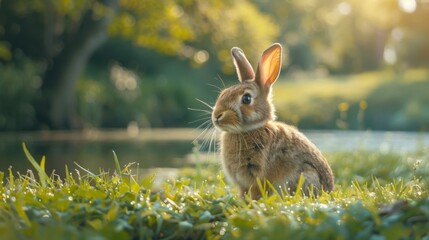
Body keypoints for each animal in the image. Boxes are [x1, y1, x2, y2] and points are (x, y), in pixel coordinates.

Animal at [211, 42, 334, 199]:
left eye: (246, 99)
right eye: (223, 94)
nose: (217, 116)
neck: (249, 130)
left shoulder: (259, 177)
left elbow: (256, 192)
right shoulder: (242, 185)